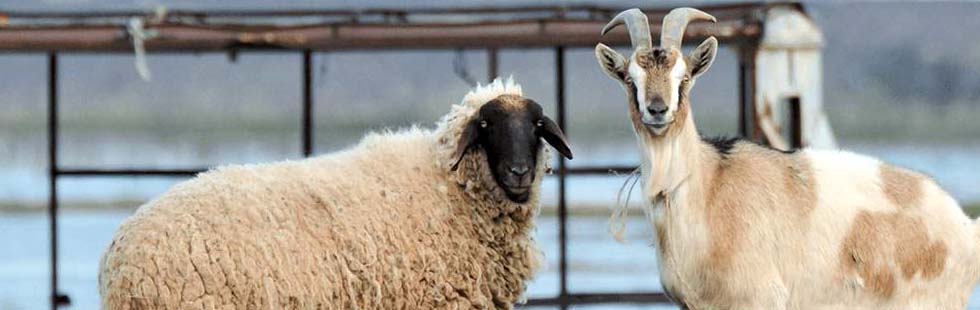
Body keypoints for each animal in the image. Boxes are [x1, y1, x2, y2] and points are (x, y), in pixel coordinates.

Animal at [592, 7, 980, 310]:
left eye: (684, 78)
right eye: (630, 79)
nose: (658, 110)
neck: (707, 183)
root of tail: (965, 227)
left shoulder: (758, 298)